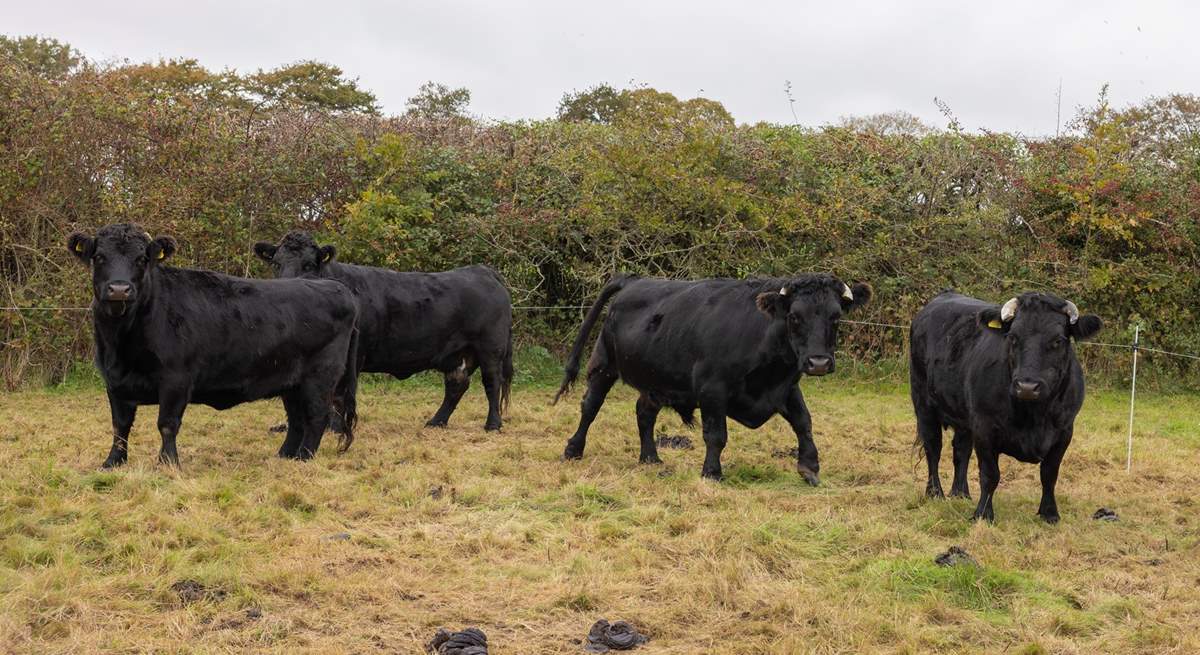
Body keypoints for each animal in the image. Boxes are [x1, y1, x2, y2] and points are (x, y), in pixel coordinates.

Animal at [68, 223, 359, 467]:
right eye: (99, 257)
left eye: (142, 259)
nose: (119, 289)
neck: (122, 343)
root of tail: (337, 288)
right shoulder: (114, 381)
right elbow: (120, 426)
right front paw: (112, 462)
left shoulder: (176, 379)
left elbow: (167, 424)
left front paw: (167, 463)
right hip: (291, 381)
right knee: (297, 418)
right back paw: (285, 455)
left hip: (320, 376)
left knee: (317, 416)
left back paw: (303, 458)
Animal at [253, 232, 513, 431]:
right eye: (276, 264)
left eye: (308, 265)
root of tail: (482, 271)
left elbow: (337, 393)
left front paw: (334, 427)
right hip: (458, 354)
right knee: (457, 385)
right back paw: (436, 421)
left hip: (491, 347)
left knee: (492, 381)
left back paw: (493, 424)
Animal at [553, 273, 871, 483]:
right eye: (794, 316)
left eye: (835, 317)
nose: (818, 363)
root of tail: (633, 279)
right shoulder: (712, 389)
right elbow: (716, 434)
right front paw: (712, 472)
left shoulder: (786, 388)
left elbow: (803, 422)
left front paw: (809, 466)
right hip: (604, 364)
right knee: (590, 406)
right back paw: (573, 449)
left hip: (656, 379)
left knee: (644, 412)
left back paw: (650, 457)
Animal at [909, 291, 1102, 523]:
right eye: (1013, 337)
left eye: (1058, 340)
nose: (1027, 387)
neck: (1034, 416)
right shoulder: (984, 428)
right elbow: (990, 475)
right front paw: (983, 514)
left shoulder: (1064, 431)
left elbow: (1049, 474)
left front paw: (1049, 513)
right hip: (923, 403)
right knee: (933, 448)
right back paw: (935, 493)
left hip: (964, 416)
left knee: (961, 450)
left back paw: (960, 493)